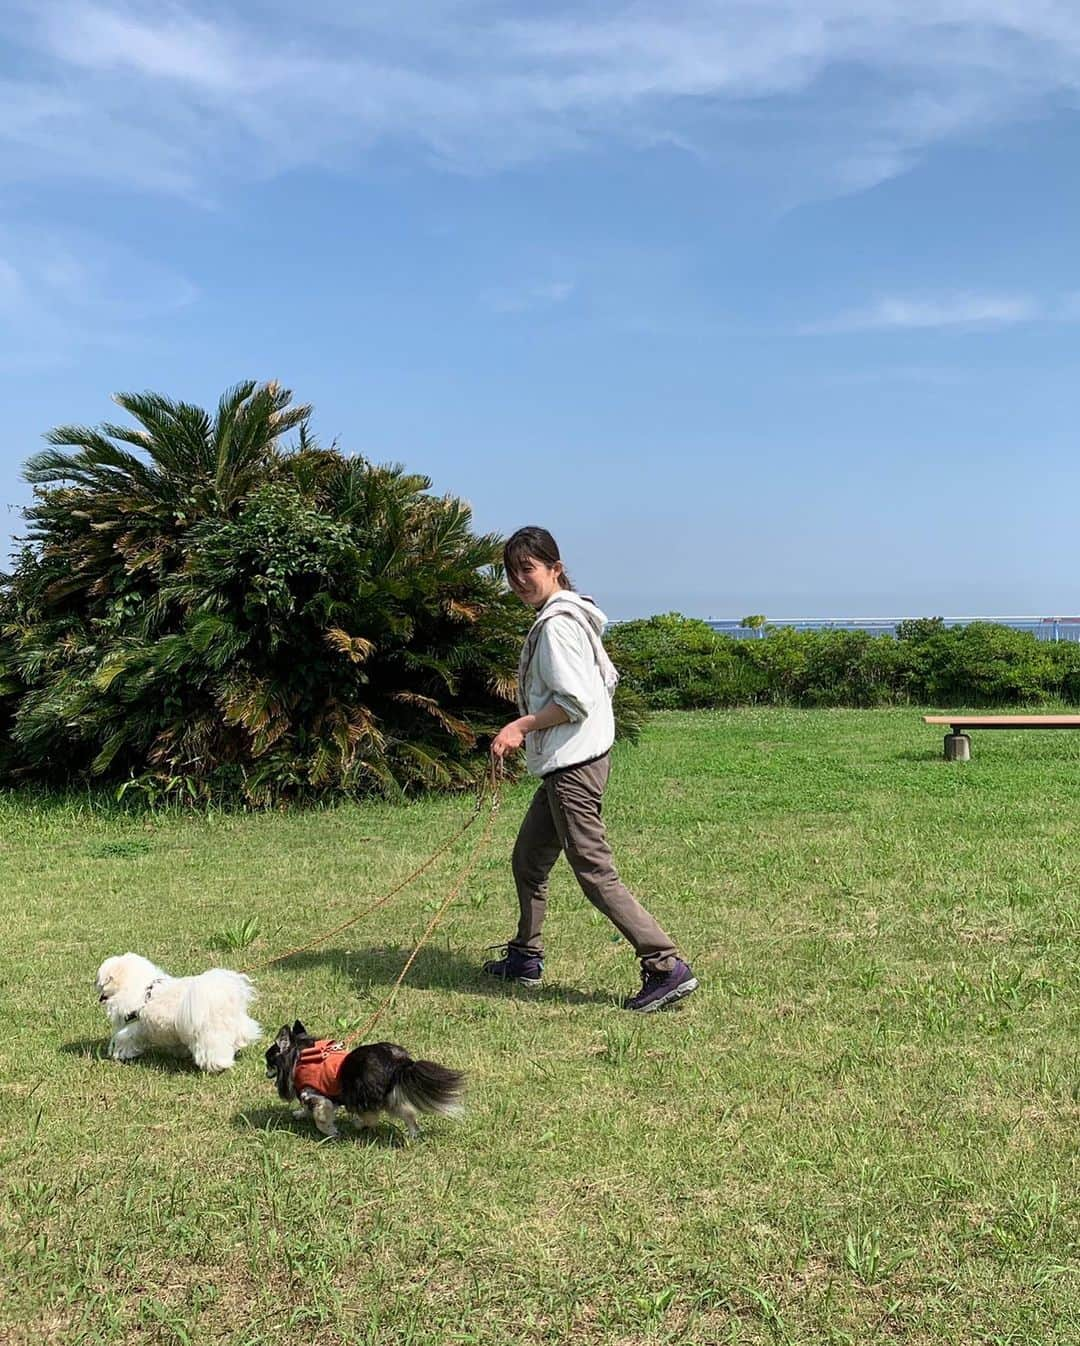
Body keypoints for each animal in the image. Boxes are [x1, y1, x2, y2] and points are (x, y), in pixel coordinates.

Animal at [98, 952, 262, 1076]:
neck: (142, 988)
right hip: (235, 1023)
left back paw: (219, 1065)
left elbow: (124, 1040)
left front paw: (121, 1055)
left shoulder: (131, 1026)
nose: (97, 988)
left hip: (209, 1033)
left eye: (100, 983)